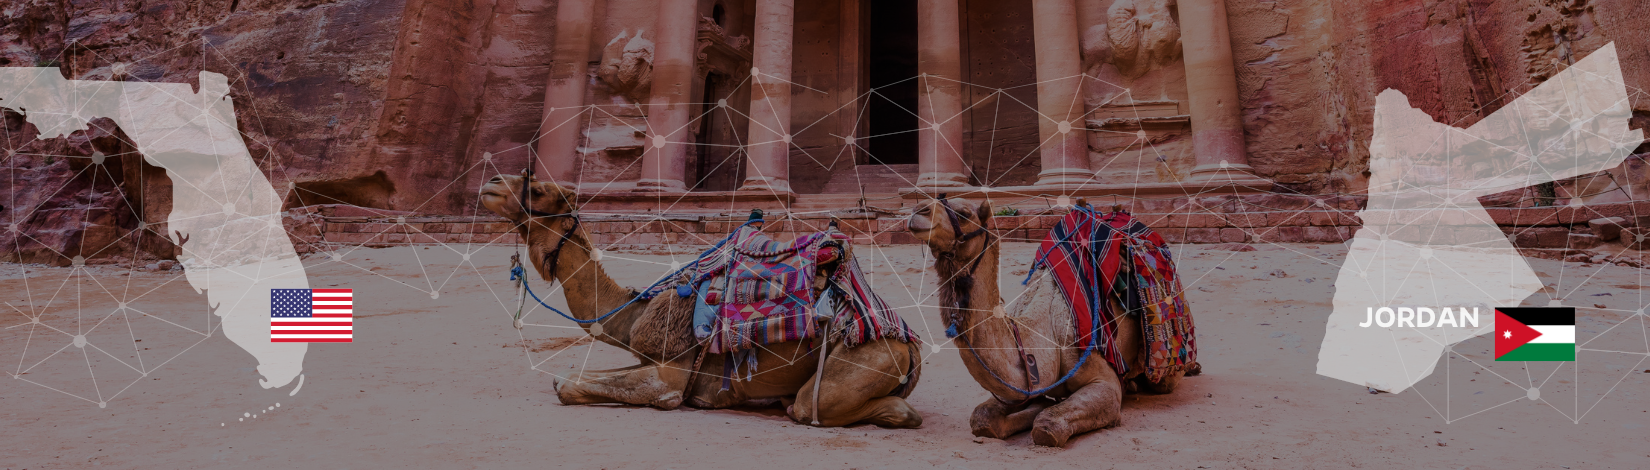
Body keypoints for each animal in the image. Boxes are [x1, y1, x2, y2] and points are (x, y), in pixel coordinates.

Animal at [478, 174, 923, 428]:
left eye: (537, 189)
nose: (490, 184)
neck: (636, 312)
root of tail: (911, 348)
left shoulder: (670, 377)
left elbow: (569, 386)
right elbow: (563, 377)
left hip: (859, 361)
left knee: (828, 407)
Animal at [906, 197, 1191, 447]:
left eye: (964, 213)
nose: (918, 210)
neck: (1044, 333)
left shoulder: (1101, 378)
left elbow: (1047, 426)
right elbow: (983, 419)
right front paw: (1039, 405)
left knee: (1165, 380)